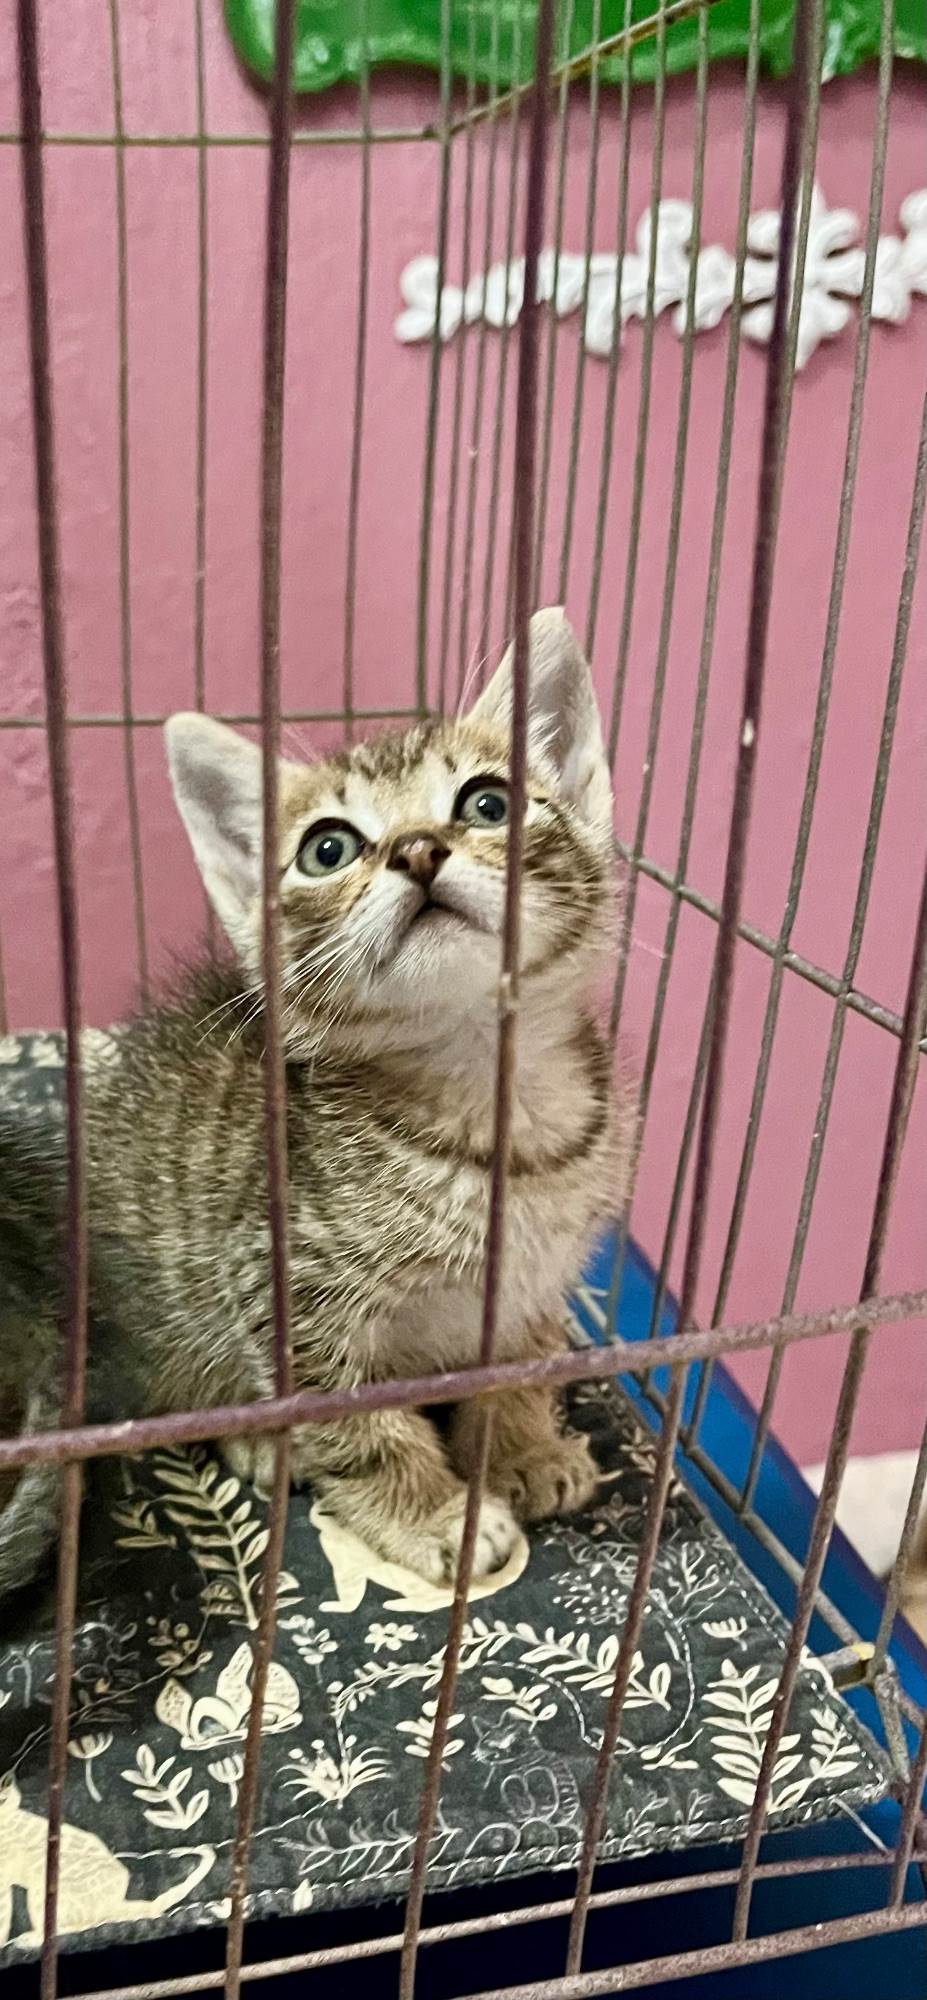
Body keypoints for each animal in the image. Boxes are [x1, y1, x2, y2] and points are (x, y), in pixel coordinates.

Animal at [79, 608, 632, 1586]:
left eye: (488, 803)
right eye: (326, 850)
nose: (416, 850)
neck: (487, 1098)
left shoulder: (538, 1281)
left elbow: (518, 1363)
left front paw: (523, 1447)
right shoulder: (284, 1285)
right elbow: (354, 1422)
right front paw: (435, 1511)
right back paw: (255, 1440)